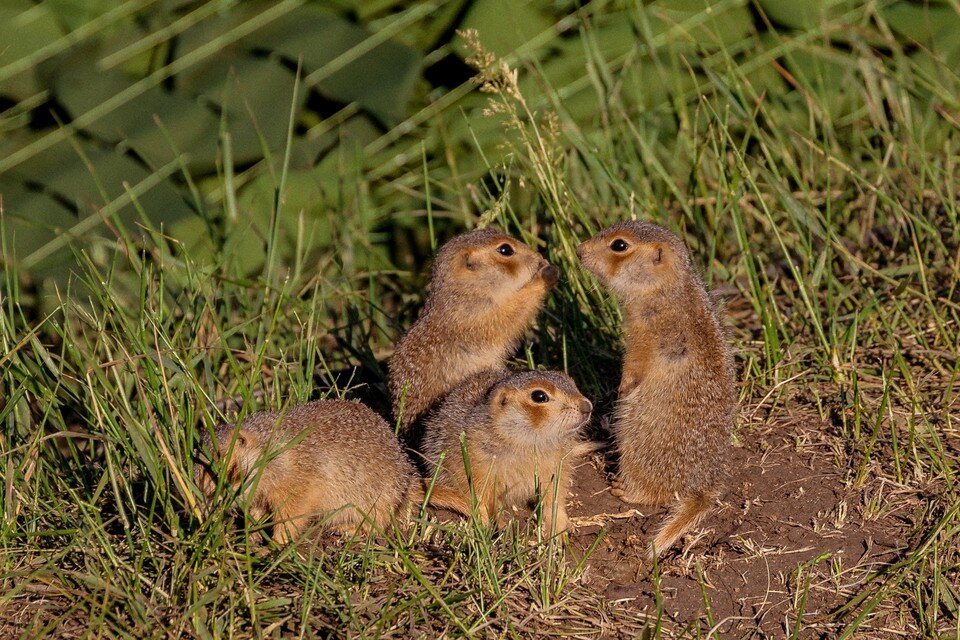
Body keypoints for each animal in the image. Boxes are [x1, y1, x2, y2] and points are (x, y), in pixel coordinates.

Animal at [196, 398, 476, 544]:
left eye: (222, 462)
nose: (203, 491)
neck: (270, 451)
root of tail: (412, 484)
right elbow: (258, 509)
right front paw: (249, 532)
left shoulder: (298, 484)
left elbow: (291, 515)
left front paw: (276, 544)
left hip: (375, 501)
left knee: (378, 525)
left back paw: (348, 529)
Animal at [388, 228, 560, 438]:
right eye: (505, 250)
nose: (538, 257)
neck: (465, 291)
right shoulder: (476, 314)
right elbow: (509, 314)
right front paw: (545, 274)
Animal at [424, 368, 596, 532]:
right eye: (539, 396)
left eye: (571, 381)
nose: (587, 407)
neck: (528, 443)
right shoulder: (471, 466)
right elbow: (476, 496)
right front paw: (486, 521)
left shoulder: (557, 467)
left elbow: (554, 497)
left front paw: (559, 528)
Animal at [576, 220, 736, 556]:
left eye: (619, 245)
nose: (580, 250)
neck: (669, 289)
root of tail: (702, 487)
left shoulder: (645, 333)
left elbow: (636, 363)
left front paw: (623, 388)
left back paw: (625, 490)